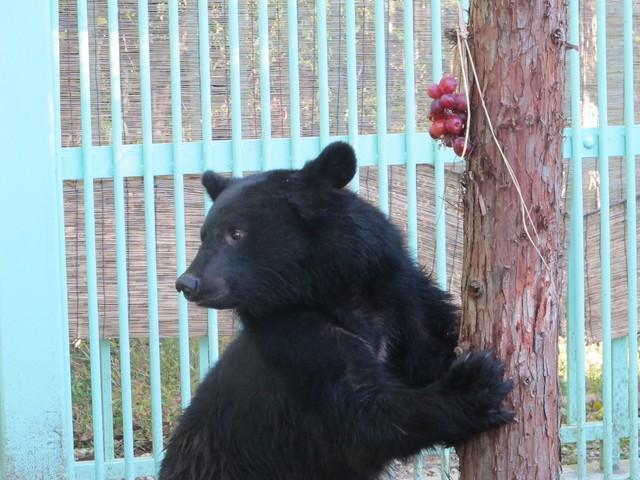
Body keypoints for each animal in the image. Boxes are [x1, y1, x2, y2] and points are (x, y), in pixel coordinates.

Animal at [160, 141, 513, 480]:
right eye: (204, 236)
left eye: (235, 233)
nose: (187, 282)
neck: (331, 288)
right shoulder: (292, 334)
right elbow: (360, 413)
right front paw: (475, 385)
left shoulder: (402, 297)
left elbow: (431, 344)